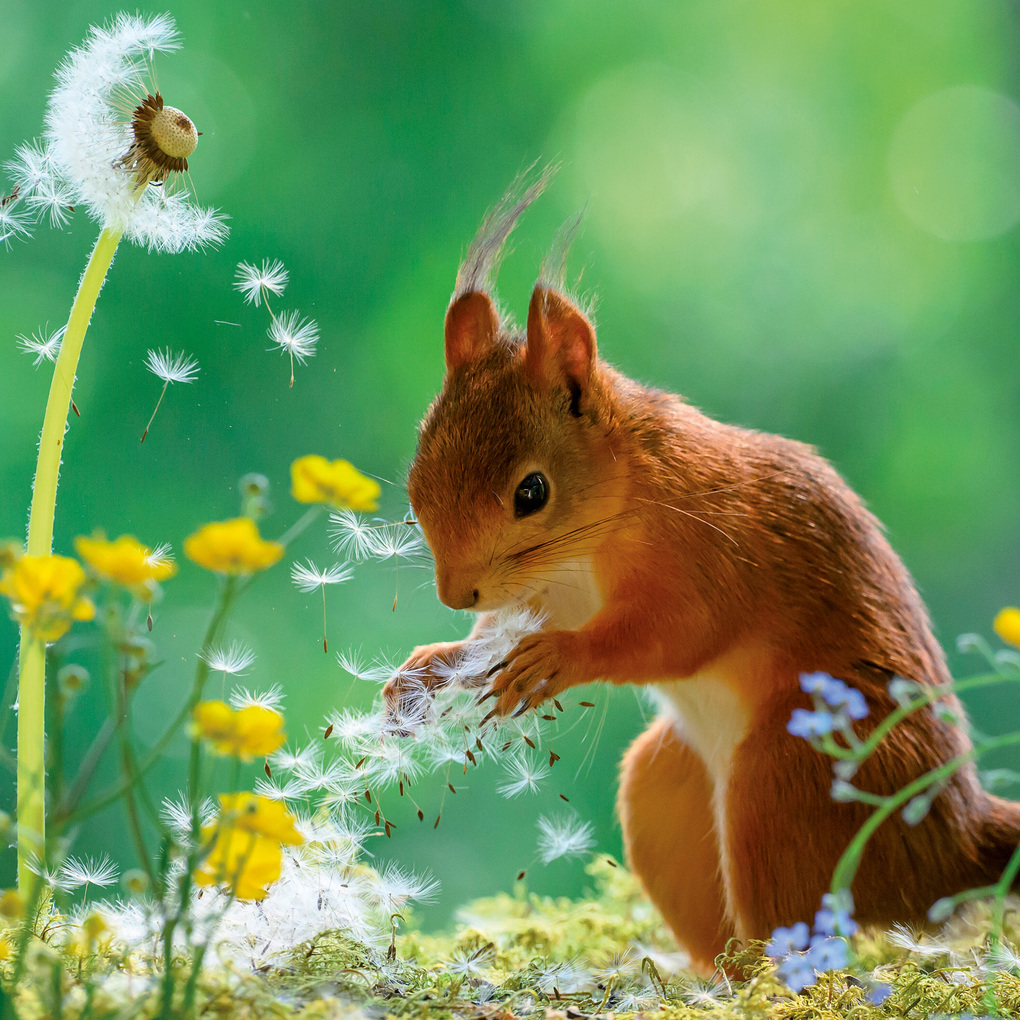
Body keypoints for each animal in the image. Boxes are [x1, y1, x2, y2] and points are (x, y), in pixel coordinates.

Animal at [384, 175, 1020, 973]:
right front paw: (426, 669)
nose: (454, 593)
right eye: (416, 481)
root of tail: (952, 847)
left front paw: (560, 657)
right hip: (666, 786)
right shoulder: (550, 591)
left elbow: (672, 635)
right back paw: (706, 975)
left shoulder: (707, 552)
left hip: (790, 780)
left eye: (531, 492)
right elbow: (495, 635)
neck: (615, 509)